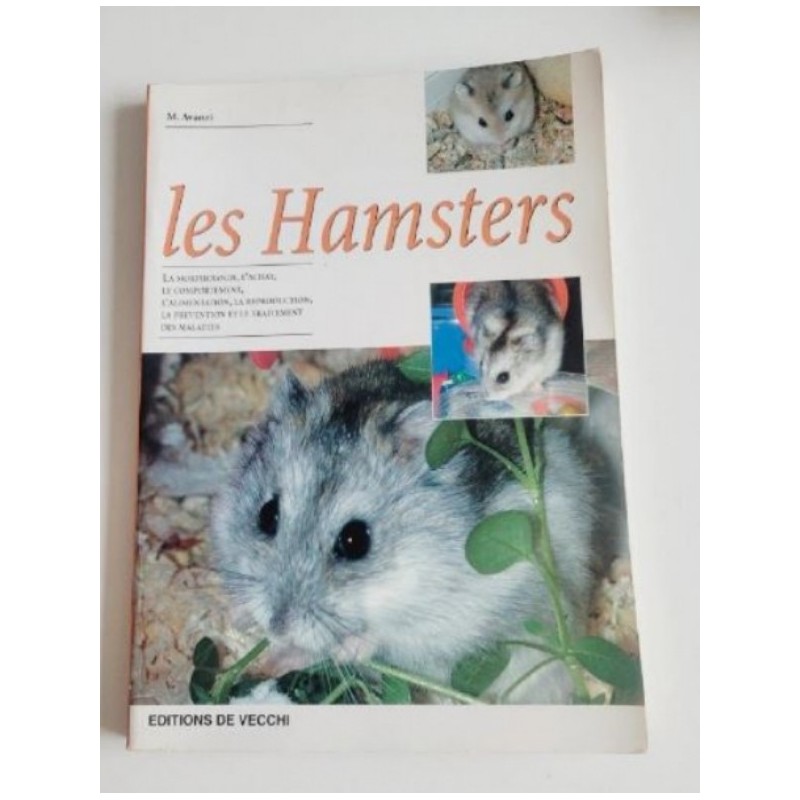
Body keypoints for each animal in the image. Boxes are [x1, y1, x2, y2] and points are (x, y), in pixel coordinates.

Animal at [212, 360, 603, 703]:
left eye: (356, 541)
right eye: (267, 516)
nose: (276, 626)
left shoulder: (455, 613)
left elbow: (381, 636)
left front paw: (347, 649)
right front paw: (239, 617)